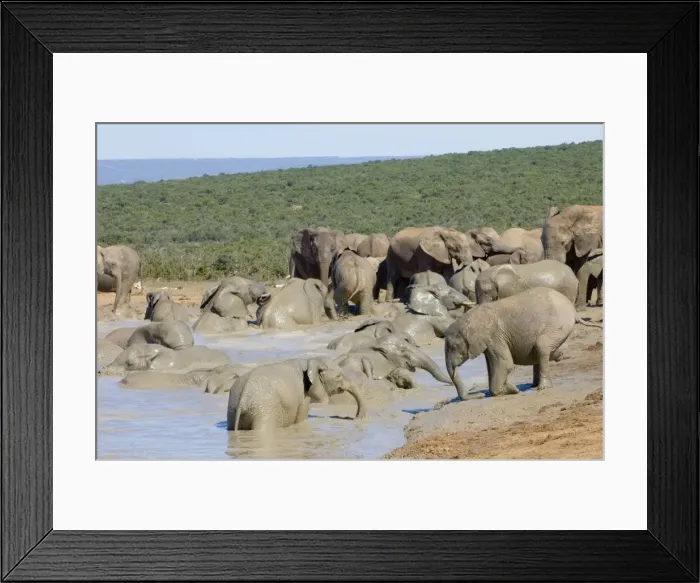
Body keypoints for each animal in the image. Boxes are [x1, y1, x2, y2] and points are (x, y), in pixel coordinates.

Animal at [226, 357, 367, 431]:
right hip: (263, 410)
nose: (354, 418)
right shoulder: (303, 394)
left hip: (233, 409)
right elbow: (301, 417)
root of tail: (243, 397)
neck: (310, 360)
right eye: (339, 376)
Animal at [444, 287, 603, 400]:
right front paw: (507, 389)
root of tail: (573, 310)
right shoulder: (489, 341)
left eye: (452, 348)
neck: (470, 317)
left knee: (542, 346)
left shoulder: (495, 336)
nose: (479, 395)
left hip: (557, 324)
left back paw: (542, 387)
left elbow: (505, 364)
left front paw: (512, 390)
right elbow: (492, 366)